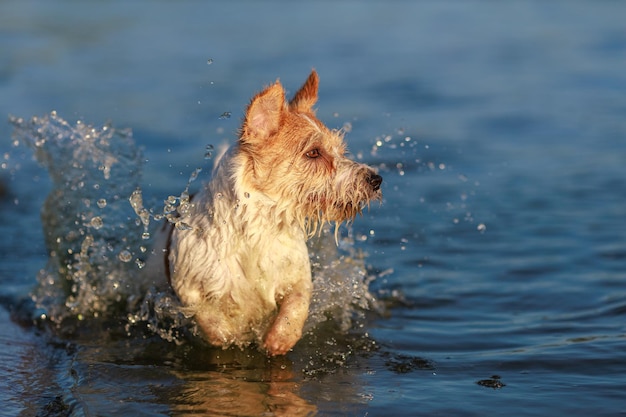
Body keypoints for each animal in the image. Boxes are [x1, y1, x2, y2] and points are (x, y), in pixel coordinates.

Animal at [149, 70, 380, 354]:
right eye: (314, 152)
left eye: (341, 150)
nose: (376, 179)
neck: (260, 230)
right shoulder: (188, 285)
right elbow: (209, 318)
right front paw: (228, 334)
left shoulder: (298, 277)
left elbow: (297, 304)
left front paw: (279, 339)